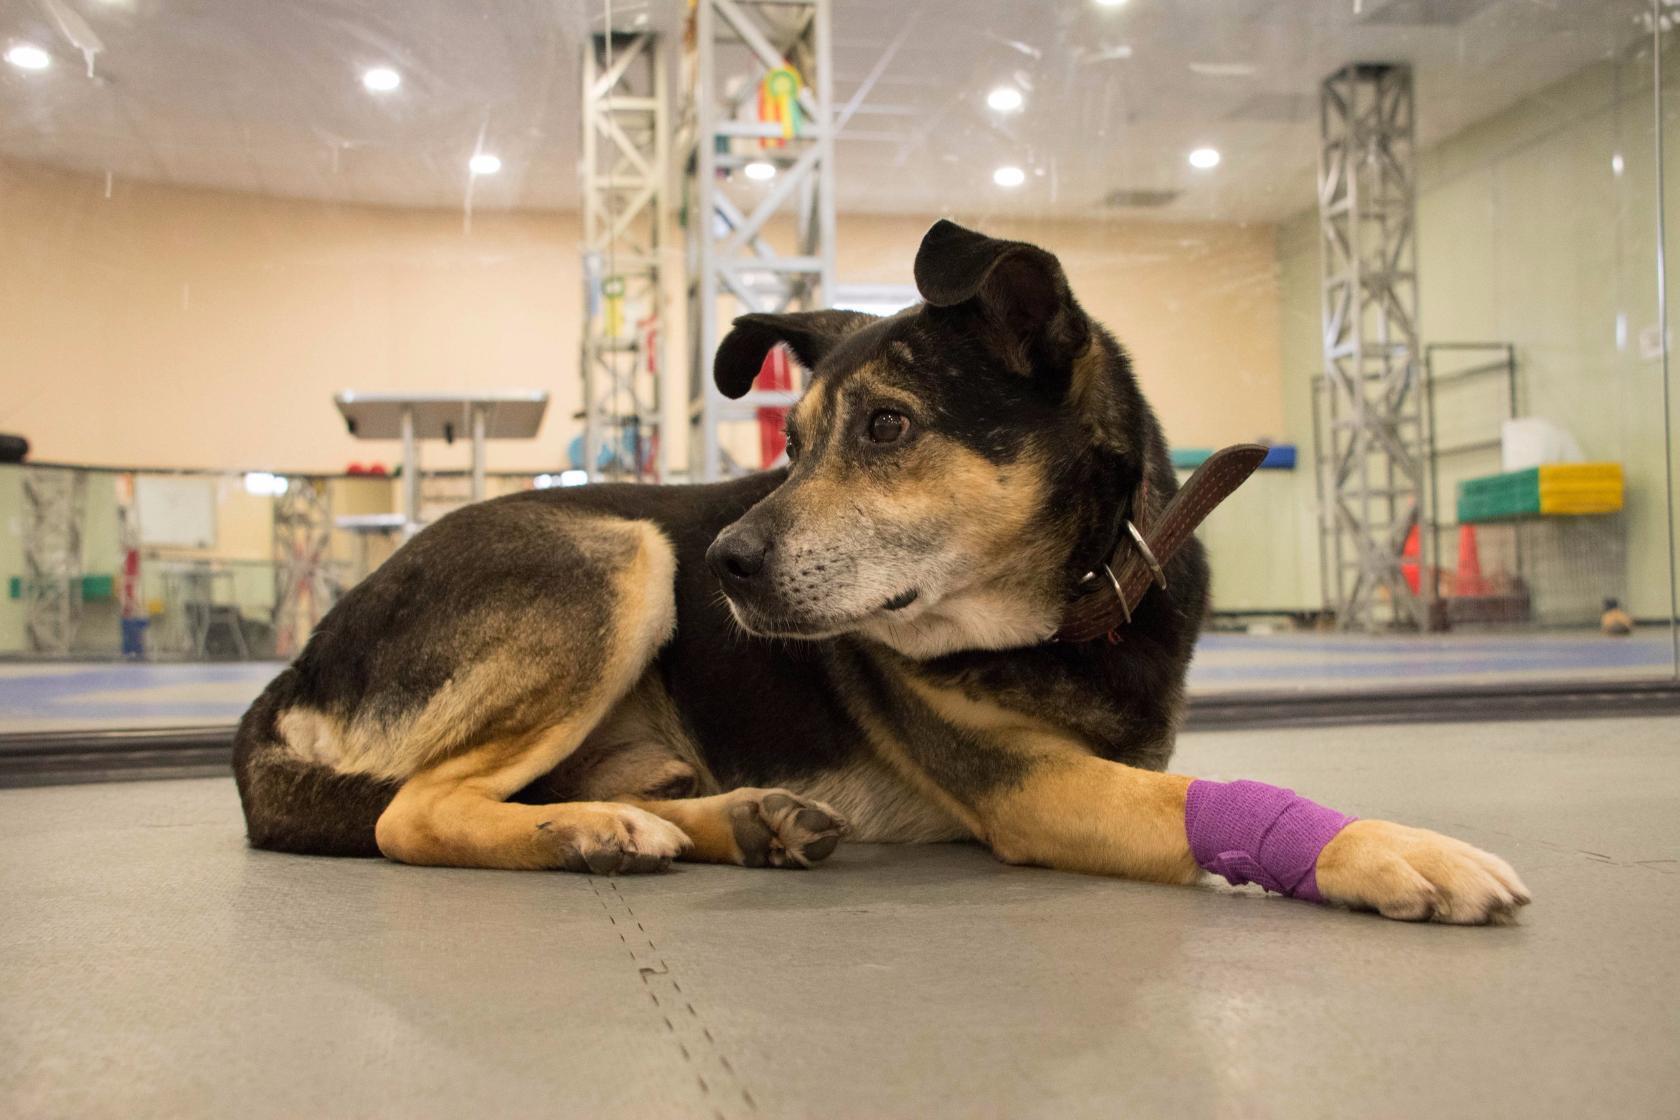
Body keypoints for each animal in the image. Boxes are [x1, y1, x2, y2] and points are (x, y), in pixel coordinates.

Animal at [233, 220, 1528, 924]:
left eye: (890, 427)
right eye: (792, 443)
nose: (726, 563)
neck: (1080, 608)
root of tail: (289, 672)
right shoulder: (1039, 791)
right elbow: (1218, 806)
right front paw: (1395, 847)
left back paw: (728, 821)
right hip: (620, 554)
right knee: (411, 812)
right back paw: (585, 834)